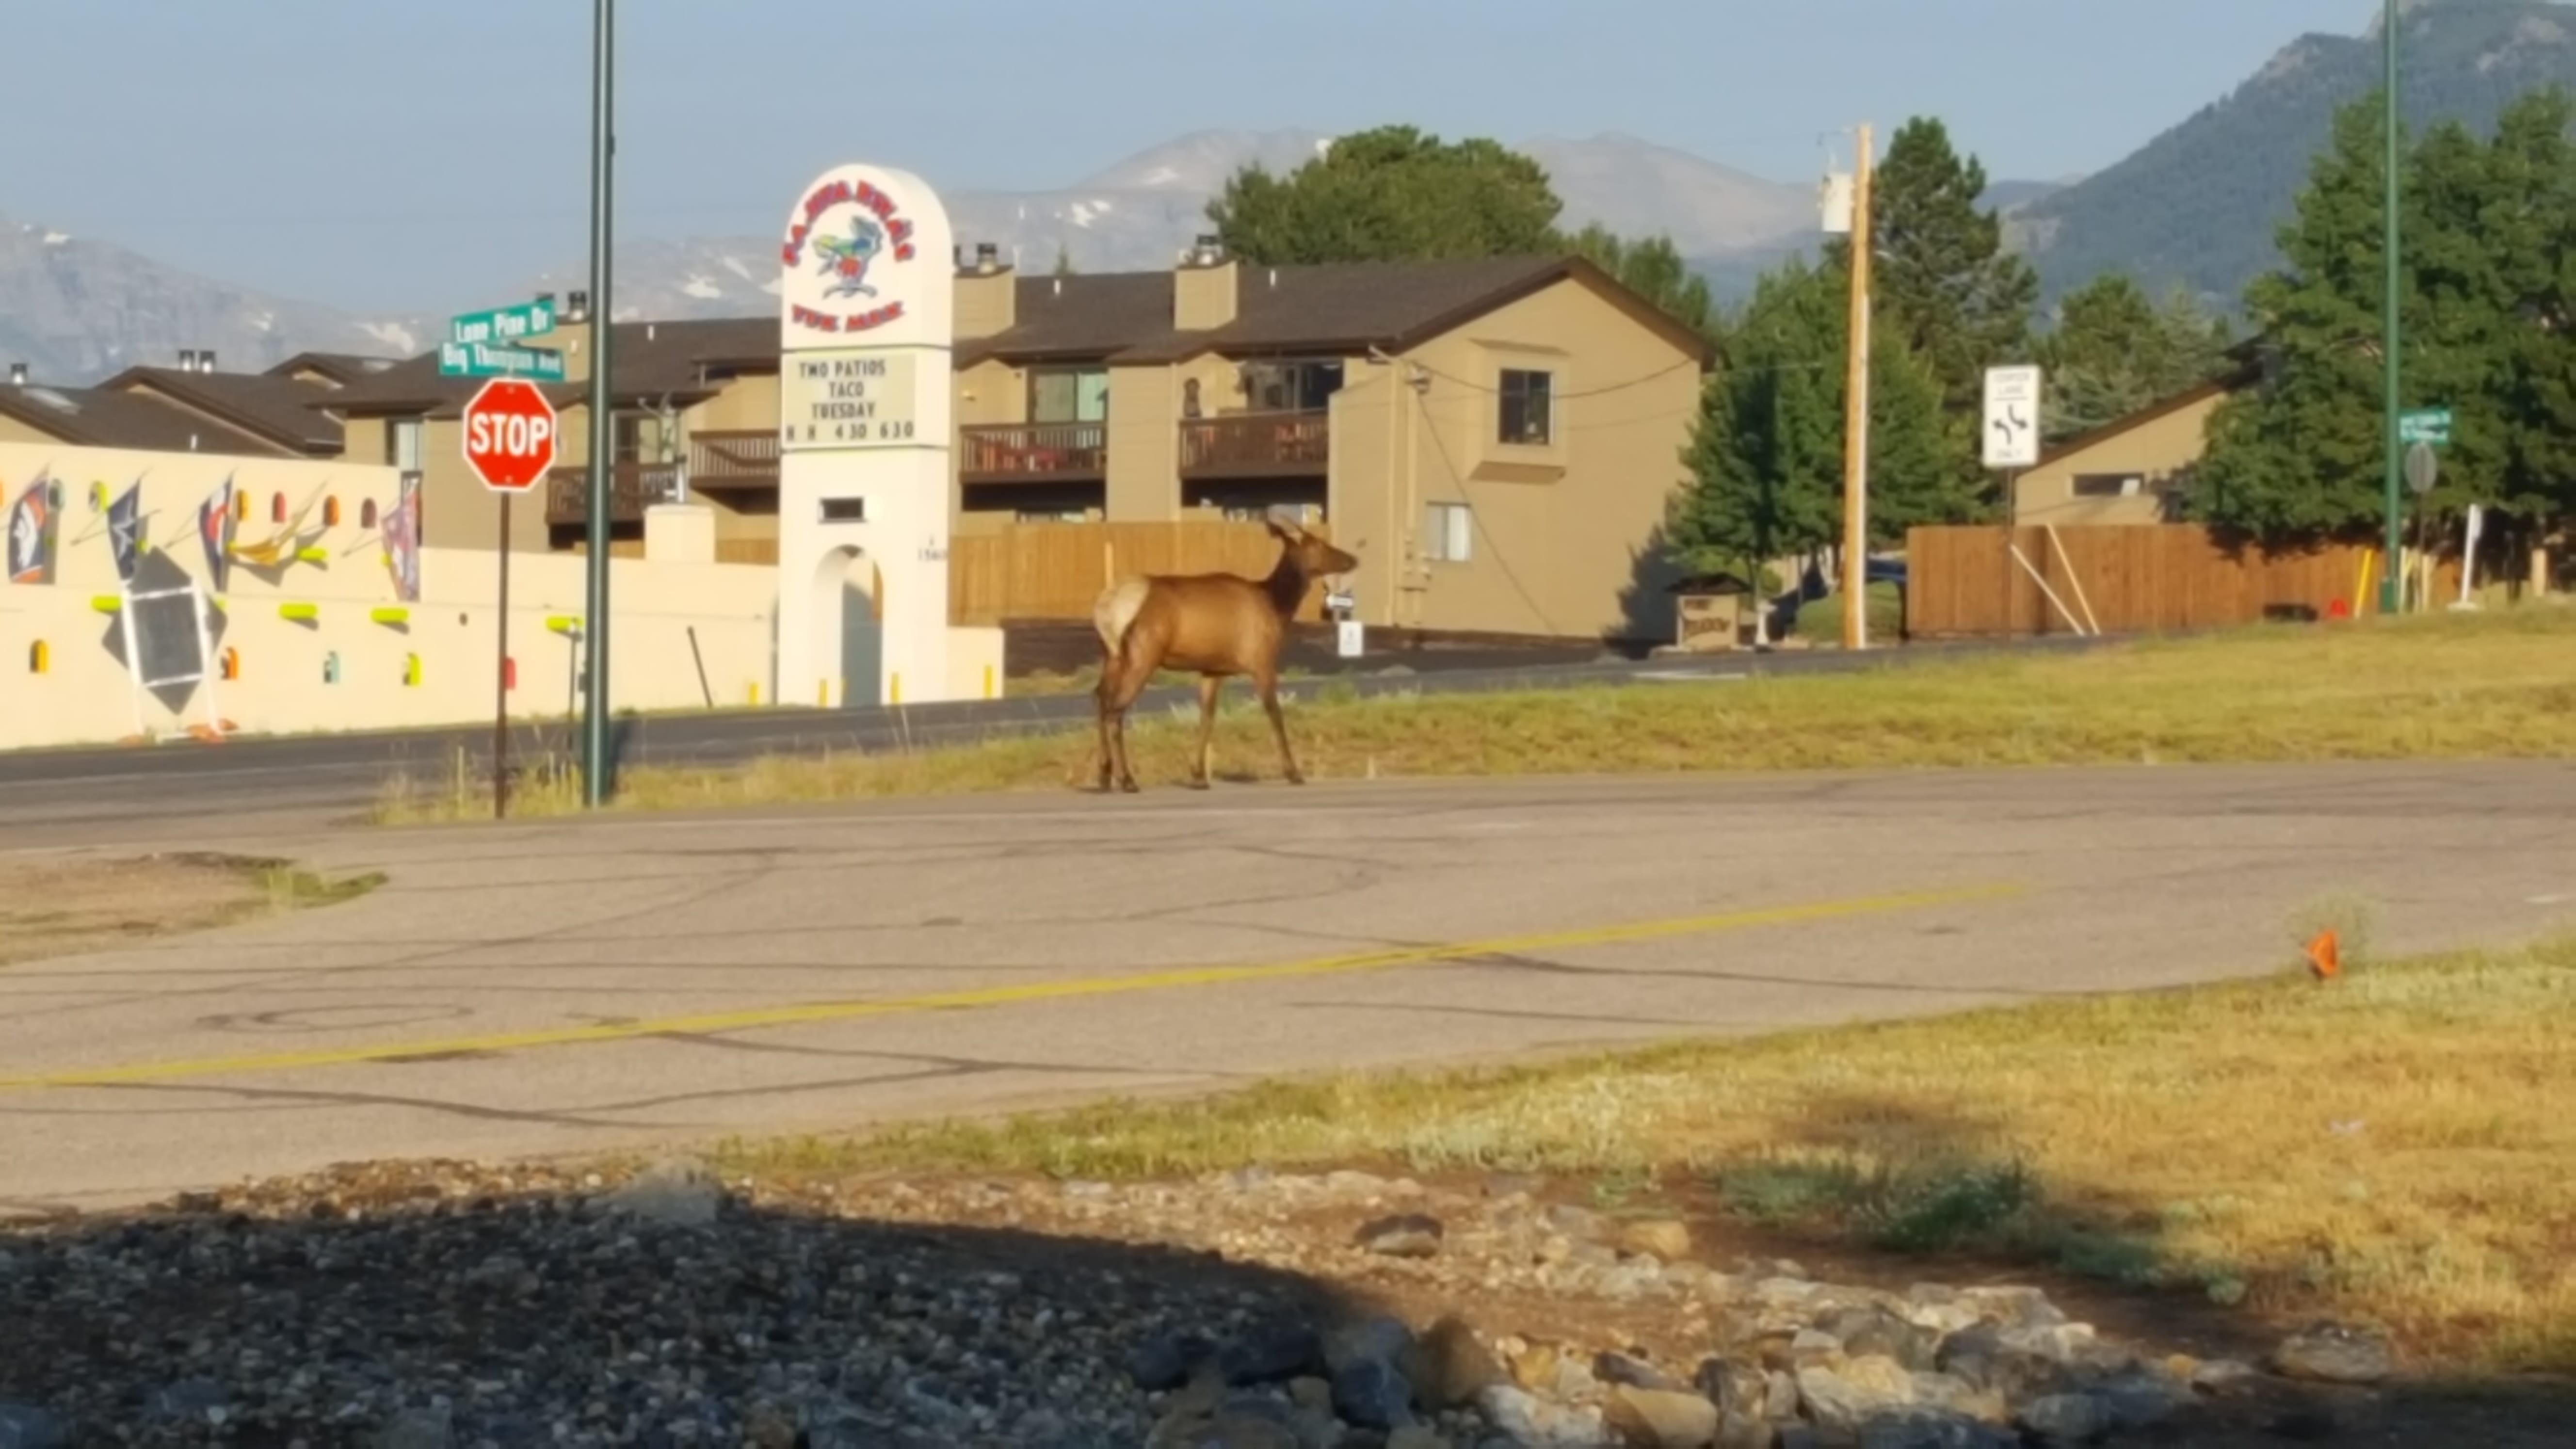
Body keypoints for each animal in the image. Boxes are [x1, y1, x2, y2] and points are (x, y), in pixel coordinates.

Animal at [1090, 516, 1360, 794]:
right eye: (1317, 544)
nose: (1353, 559)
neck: (1278, 607)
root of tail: (1106, 608)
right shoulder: (1262, 661)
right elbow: (1275, 713)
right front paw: (1294, 773)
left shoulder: (1212, 670)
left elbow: (1207, 718)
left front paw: (1199, 776)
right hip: (1143, 655)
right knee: (1116, 710)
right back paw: (1127, 779)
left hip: (1111, 656)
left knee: (1100, 697)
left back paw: (1104, 775)